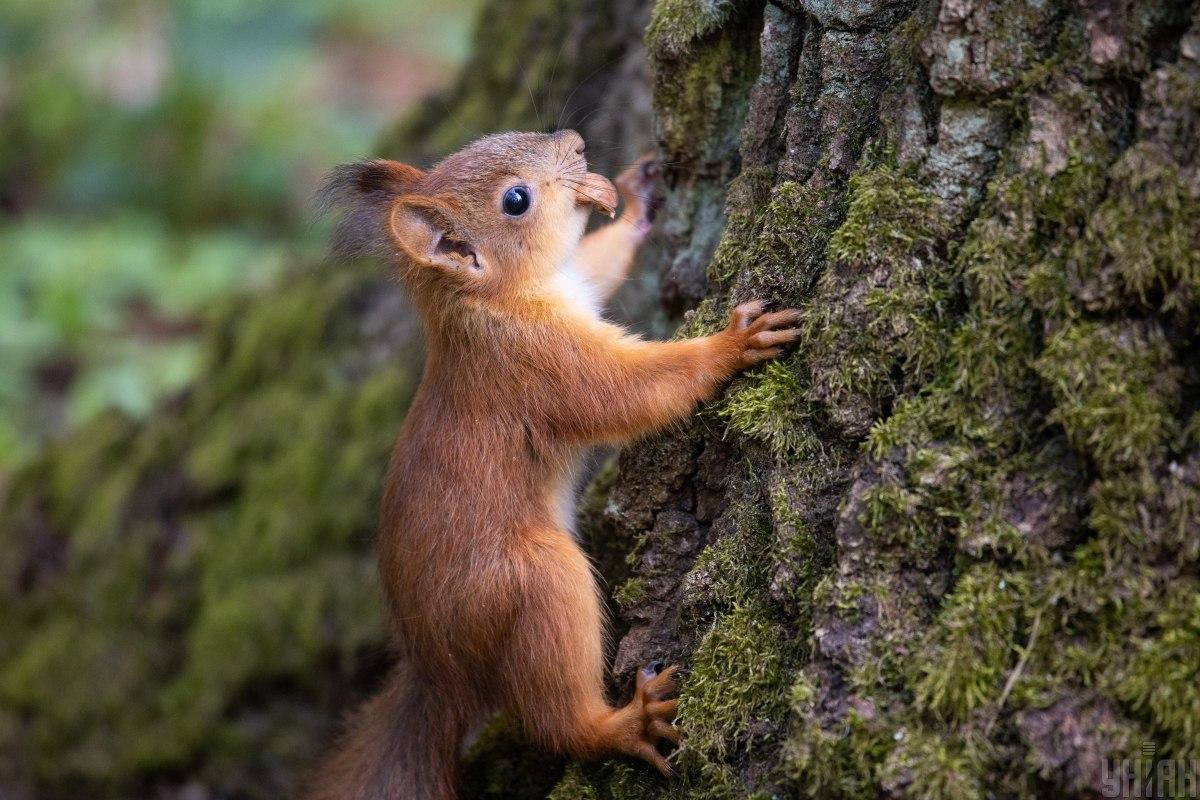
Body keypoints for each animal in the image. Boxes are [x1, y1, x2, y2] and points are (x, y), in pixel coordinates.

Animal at [304, 128, 801, 796]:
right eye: (516, 200)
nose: (576, 142)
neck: (493, 302)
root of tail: (440, 671)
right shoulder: (538, 361)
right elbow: (627, 391)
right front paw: (731, 344)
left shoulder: (577, 287)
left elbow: (596, 263)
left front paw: (640, 196)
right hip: (533, 584)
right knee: (554, 720)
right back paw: (623, 725)